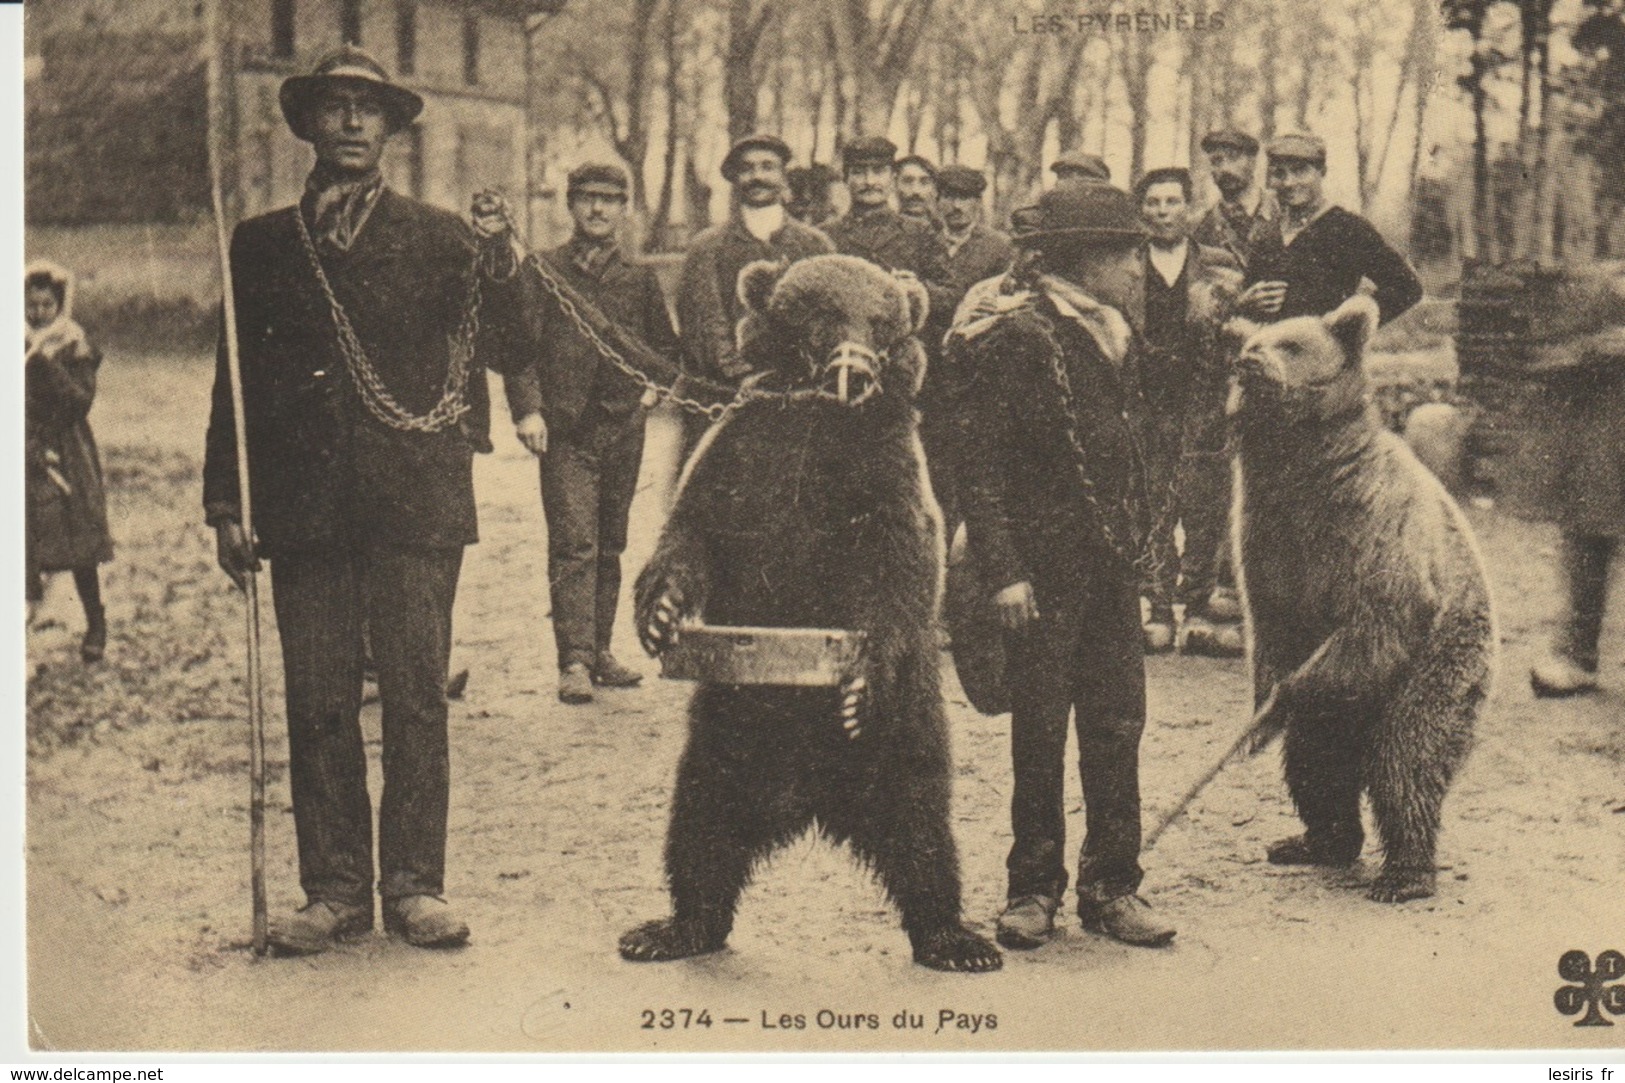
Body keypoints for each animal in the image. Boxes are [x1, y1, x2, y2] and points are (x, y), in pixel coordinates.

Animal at [620, 250, 1001, 969]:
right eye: (822, 312)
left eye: (880, 321)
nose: (854, 370)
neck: (822, 419)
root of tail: (812, 800)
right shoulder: (746, 441)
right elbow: (693, 526)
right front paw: (660, 615)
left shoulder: (882, 465)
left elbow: (903, 560)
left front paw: (856, 680)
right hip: (724, 732)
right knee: (700, 823)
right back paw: (670, 928)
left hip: (902, 730)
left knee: (922, 825)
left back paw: (956, 939)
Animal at [1228, 291, 1495, 897]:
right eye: (1251, 340)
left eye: (1291, 343)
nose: (1250, 362)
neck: (1301, 463)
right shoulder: (1266, 532)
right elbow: (1271, 621)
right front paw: (1262, 707)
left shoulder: (1370, 523)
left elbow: (1383, 613)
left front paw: (1281, 700)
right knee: (1315, 763)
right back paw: (1313, 841)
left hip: (1436, 668)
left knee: (1406, 759)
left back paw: (1404, 874)